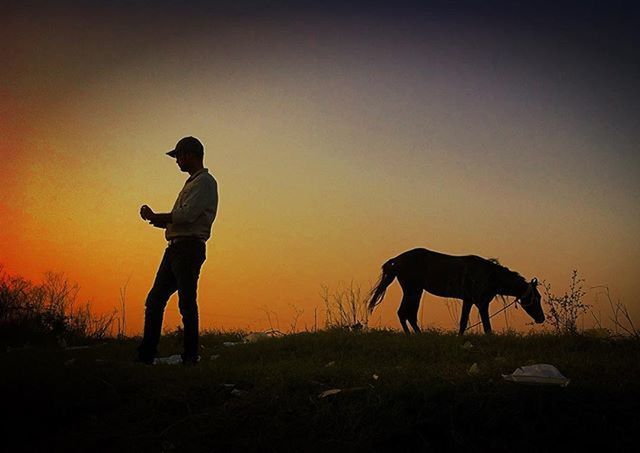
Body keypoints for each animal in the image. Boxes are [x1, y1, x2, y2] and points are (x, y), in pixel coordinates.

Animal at [368, 247, 544, 332]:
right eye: (536, 298)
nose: (541, 318)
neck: (490, 275)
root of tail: (397, 260)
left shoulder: (468, 301)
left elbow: (463, 323)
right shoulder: (482, 303)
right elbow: (487, 328)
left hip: (415, 291)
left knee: (408, 314)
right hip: (413, 290)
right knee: (405, 313)